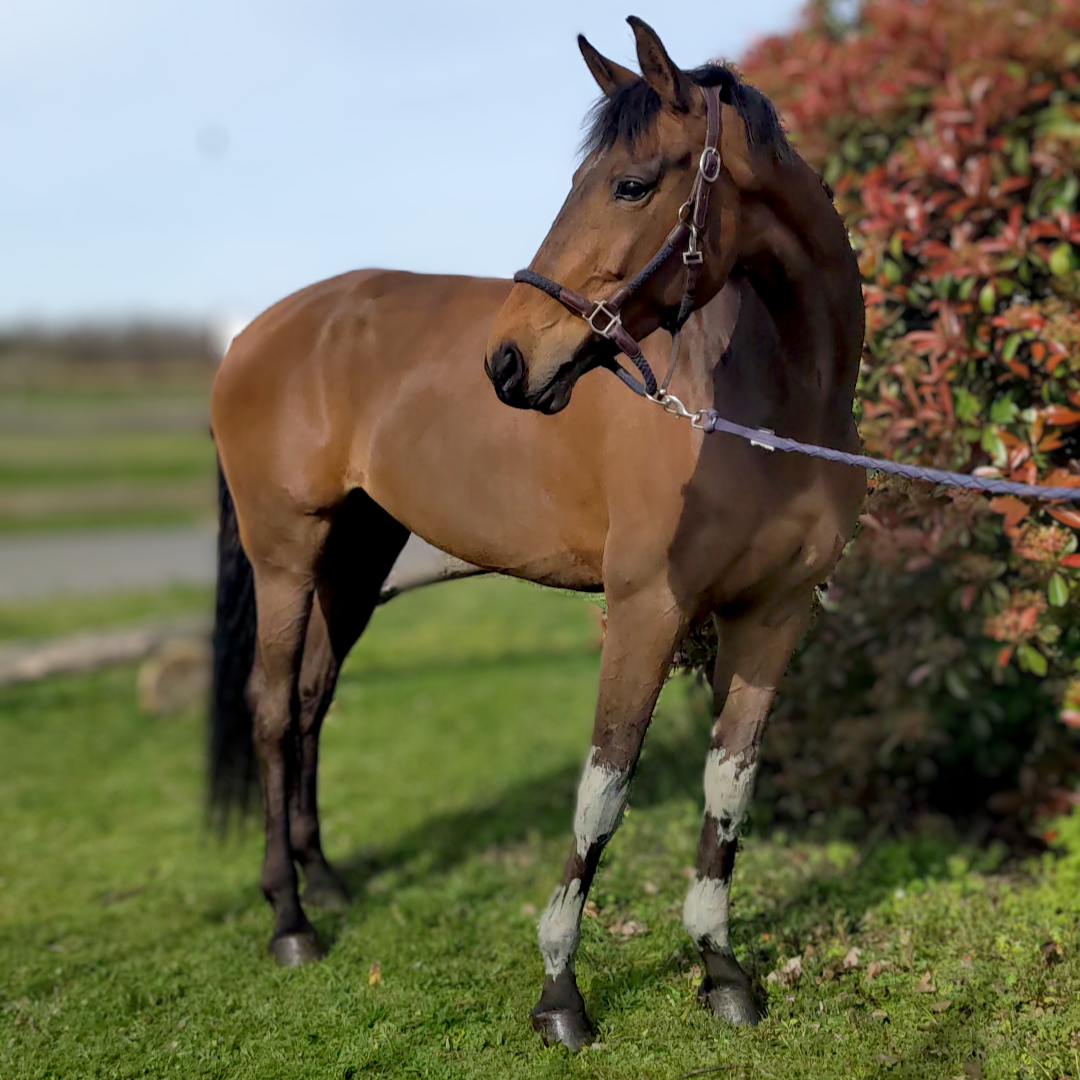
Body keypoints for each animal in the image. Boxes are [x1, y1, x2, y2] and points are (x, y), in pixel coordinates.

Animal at [209, 17, 866, 1051]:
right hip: (286, 555)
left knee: (311, 701)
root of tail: (258, 333)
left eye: (631, 183)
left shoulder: (774, 616)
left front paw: (720, 969)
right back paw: (290, 919)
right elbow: (604, 792)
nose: (508, 363)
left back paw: (327, 883)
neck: (761, 410)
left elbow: (729, 790)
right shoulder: (645, 610)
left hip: (352, 564)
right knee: (272, 710)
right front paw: (560, 991)